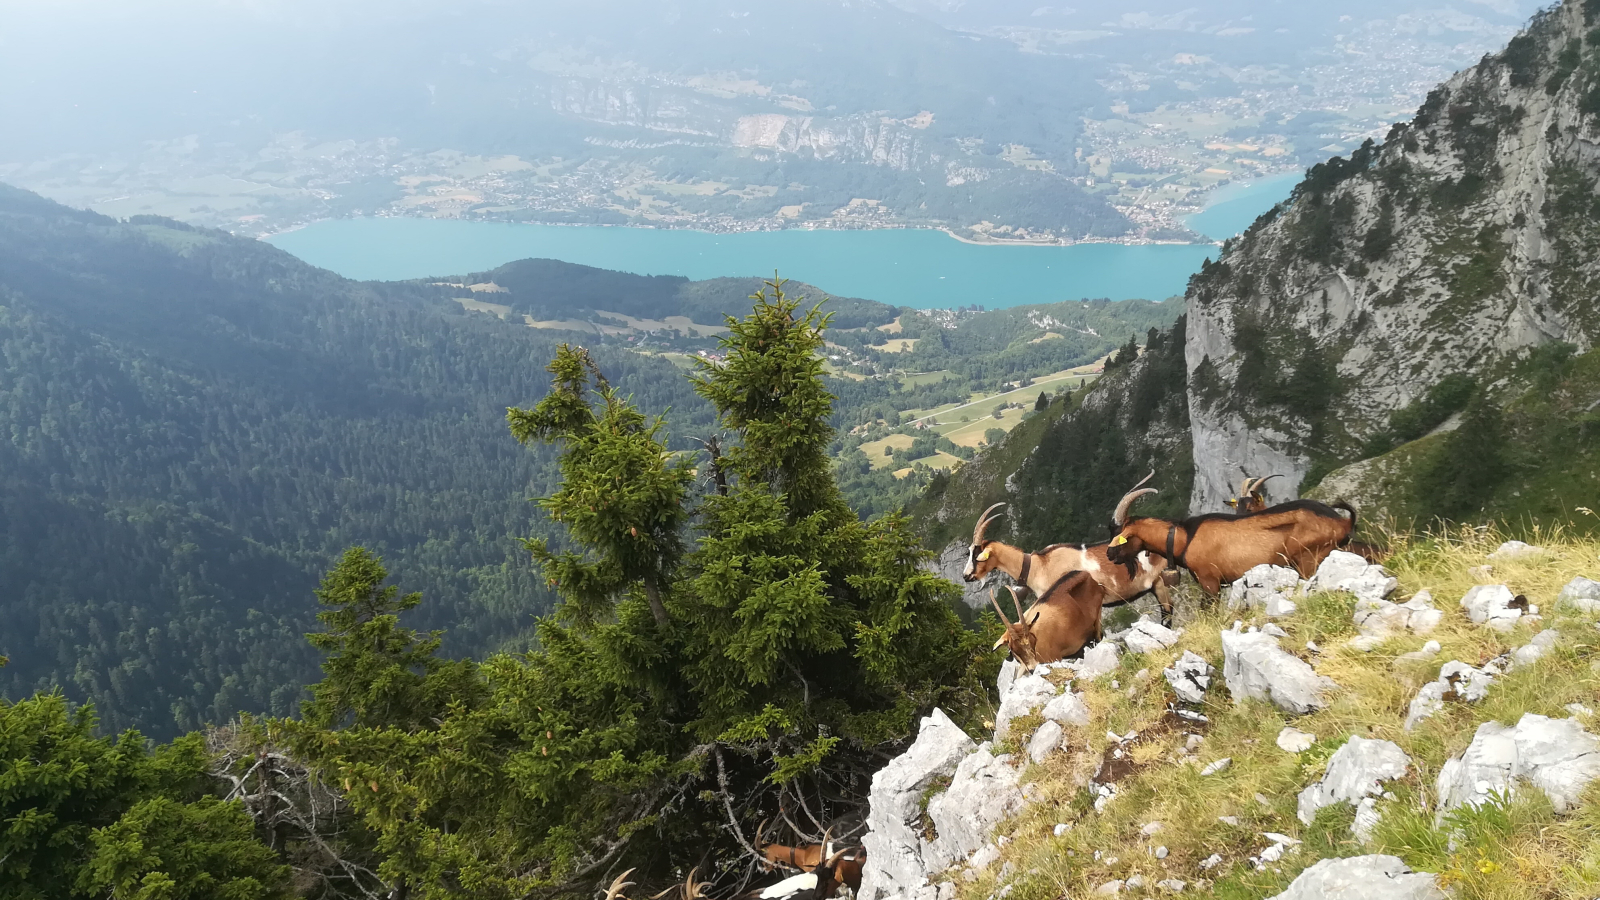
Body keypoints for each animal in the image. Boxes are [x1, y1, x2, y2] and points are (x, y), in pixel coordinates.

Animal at [1113, 480, 1363, 592]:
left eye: (1122, 533)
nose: (1109, 554)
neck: (1185, 537)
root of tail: (1343, 521)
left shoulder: (1210, 582)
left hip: (1310, 559)